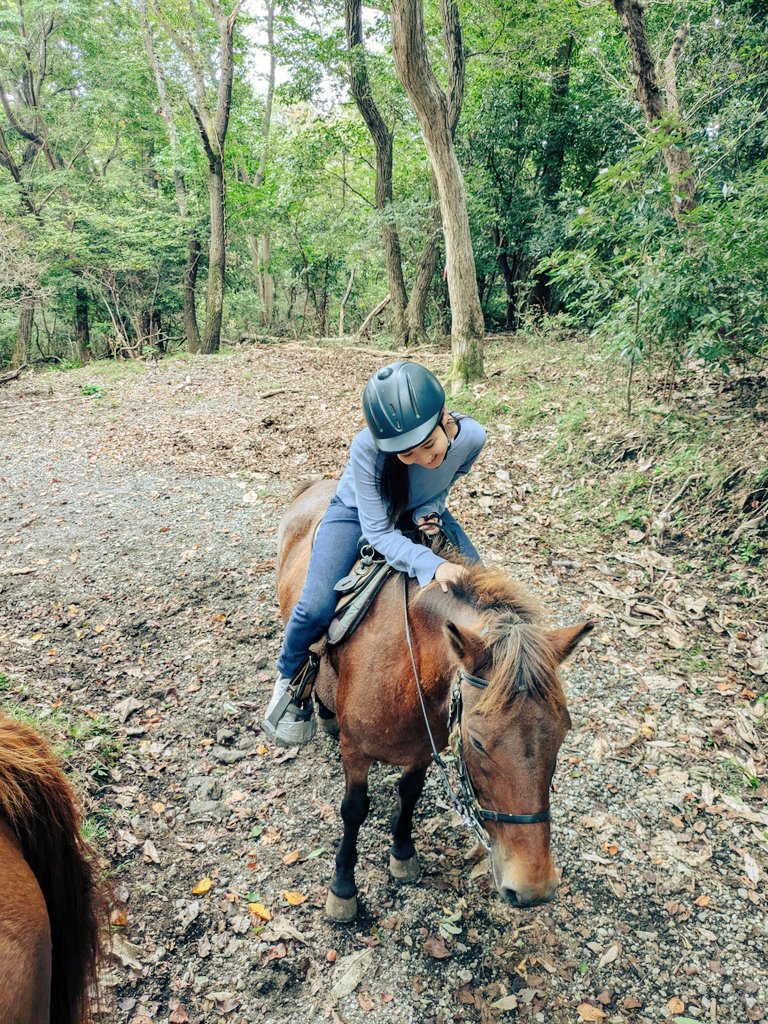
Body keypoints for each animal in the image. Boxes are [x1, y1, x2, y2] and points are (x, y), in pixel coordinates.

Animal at [276, 479, 592, 922]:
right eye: (477, 741)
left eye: (563, 734)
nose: (533, 887)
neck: (407, 663)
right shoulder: (355, 751)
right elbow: (354, 810)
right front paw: (343, 888)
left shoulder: (424, 747)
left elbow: (409, 792)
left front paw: (402, 853)